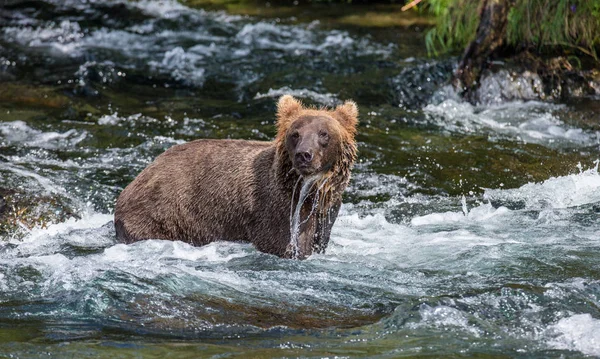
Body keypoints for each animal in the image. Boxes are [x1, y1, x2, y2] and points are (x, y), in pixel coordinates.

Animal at [115, 95, 358, 258]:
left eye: (324, 134)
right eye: (295, 134)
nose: (304, 155)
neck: (308, 191)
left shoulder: (327, 211)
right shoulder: (276, 208)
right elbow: (283, 243)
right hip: (163, 214)